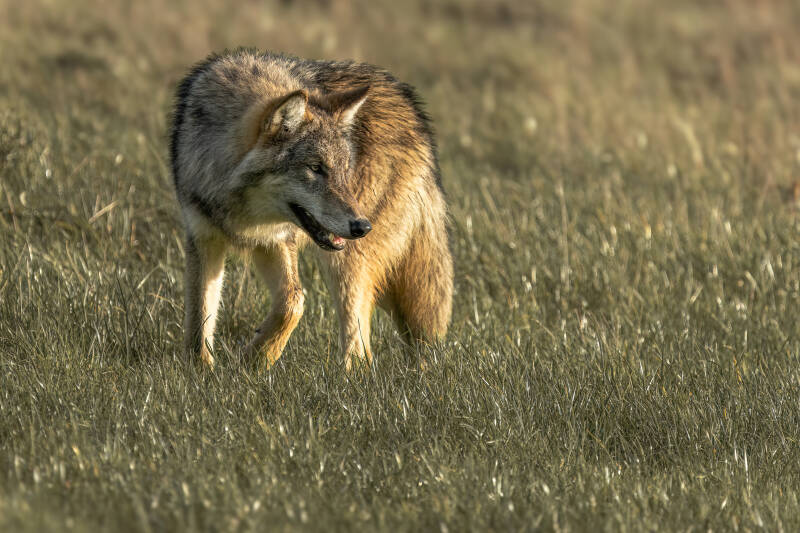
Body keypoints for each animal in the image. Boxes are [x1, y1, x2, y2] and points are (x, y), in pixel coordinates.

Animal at [170, 49, 453, 371]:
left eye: (343, 169)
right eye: (316, 168)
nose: (362, 227)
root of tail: (413, 110)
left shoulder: (280, 239)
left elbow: (294, 301)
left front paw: (253, 361)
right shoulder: (206, 238)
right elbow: (200, 320)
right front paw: (201, 371)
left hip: (347, 264)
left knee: (359, 350)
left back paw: (344, 378)